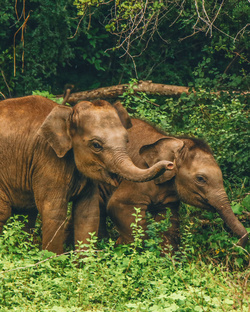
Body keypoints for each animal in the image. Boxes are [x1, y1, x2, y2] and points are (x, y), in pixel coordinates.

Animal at [0, 96, 173, 255]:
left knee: (26, 214)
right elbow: (54, 211)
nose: (170, 164)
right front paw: (55, 261)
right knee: (5, 211)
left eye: (127, 141)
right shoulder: (47, 158)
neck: (69, 113)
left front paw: (84, 263)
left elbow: (88, 212)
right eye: (96, 145)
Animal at [98, 118, 249, 250]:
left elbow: (169, 222)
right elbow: (118, 206)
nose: (236, 245)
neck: (171, 141)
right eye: (201, 179)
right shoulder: (137, 177)